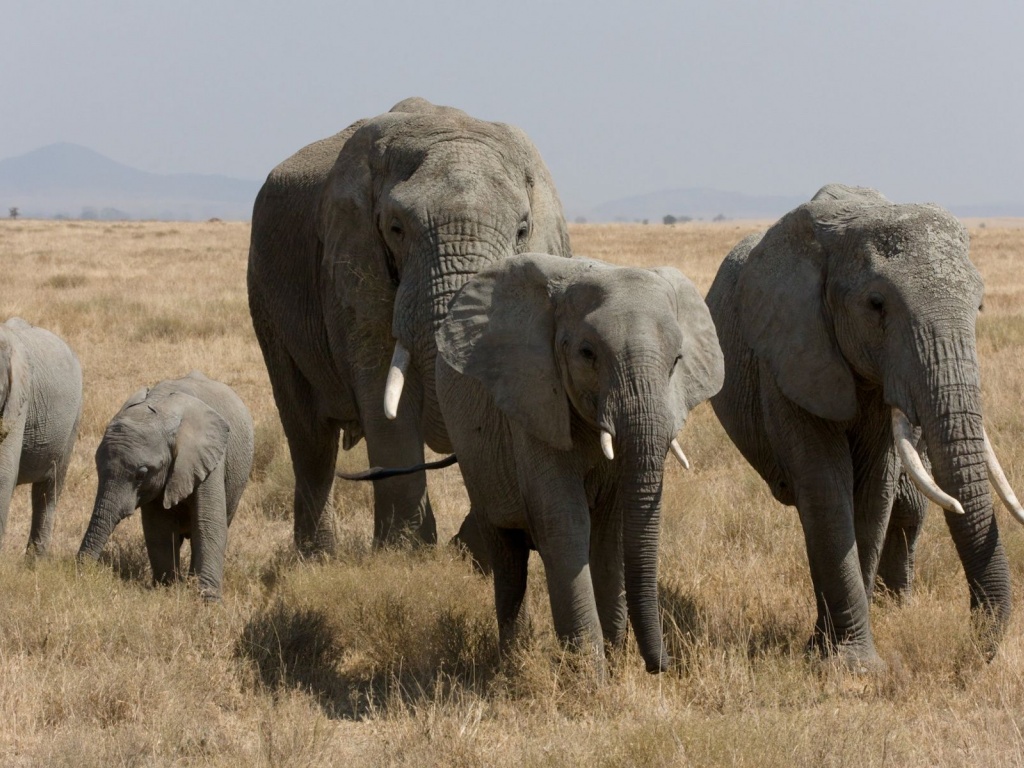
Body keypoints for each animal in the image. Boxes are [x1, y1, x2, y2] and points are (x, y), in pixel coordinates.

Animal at [77, 372, 253, 602]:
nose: (82, 573)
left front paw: (208, 603)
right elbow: (158, 527)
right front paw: (167, 590)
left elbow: (209, 523)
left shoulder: (209, 458)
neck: (161, 406)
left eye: (142, 473)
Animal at [244, 97, 573, 552]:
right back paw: (317, 556)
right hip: (265, 294)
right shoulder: (353, 264)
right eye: (396, 228)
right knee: (310, 437)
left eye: (523, 230)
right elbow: (382, 392)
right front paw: (406, 552)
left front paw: (471, 548)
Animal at [436, 252, 724, 671]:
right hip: (475, 457)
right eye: (587, 354)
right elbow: (565, 522)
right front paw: (590, 674)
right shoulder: (535, 401)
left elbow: (609, 533)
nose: (666, 664)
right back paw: (512, 661)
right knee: (507, 558)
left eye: (676, 361)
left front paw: (614, 664)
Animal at [704, 183, 1024, 671]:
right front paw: (851, 667)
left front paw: (837, 655)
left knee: (905, 504)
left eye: (981, 305)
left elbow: (874, 492)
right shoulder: (789, 355)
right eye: (876, 305)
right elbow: (825, 487)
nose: (974, 649)